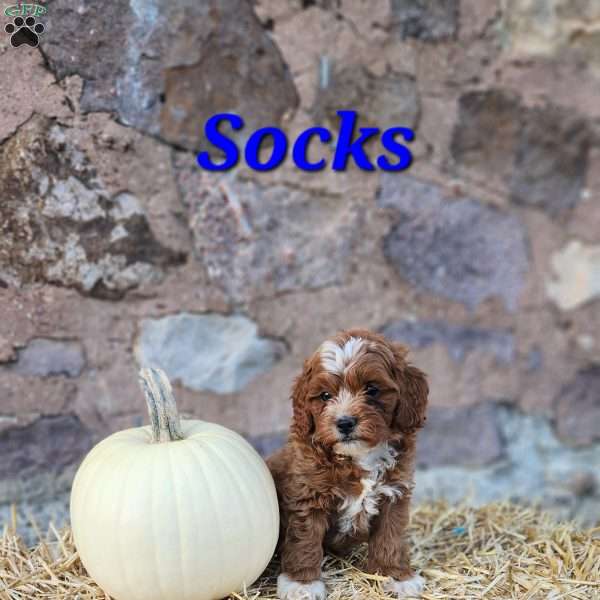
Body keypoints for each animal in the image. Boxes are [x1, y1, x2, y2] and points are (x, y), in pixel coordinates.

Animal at [266, 330, 426, 596]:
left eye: (372, 389)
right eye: (325, 396)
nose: (344, 422)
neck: (358, 456)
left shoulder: (394, 495)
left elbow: (390, 538)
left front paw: (395, 576)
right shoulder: (308, 496)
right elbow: (305, 540)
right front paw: (302, 584)